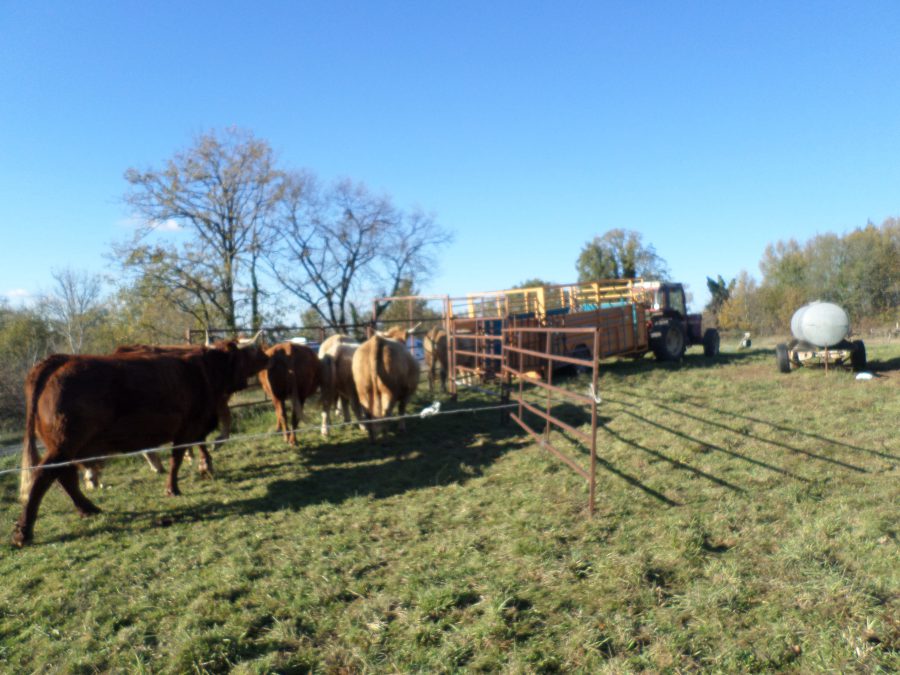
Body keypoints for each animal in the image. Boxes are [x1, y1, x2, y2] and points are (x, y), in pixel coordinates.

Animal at [13, 340, 268, 548]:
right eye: (250, 352)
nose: (266, 355)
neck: (204, 369)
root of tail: (59, 359)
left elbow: (195, 448)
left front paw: (204, 469)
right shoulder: (189, 426)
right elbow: (177, 458)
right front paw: (173, 488)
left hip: (66, 448)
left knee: (64, 476)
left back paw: (88, 509)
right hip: (64, 444)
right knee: (44, 475)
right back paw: (24, 532)